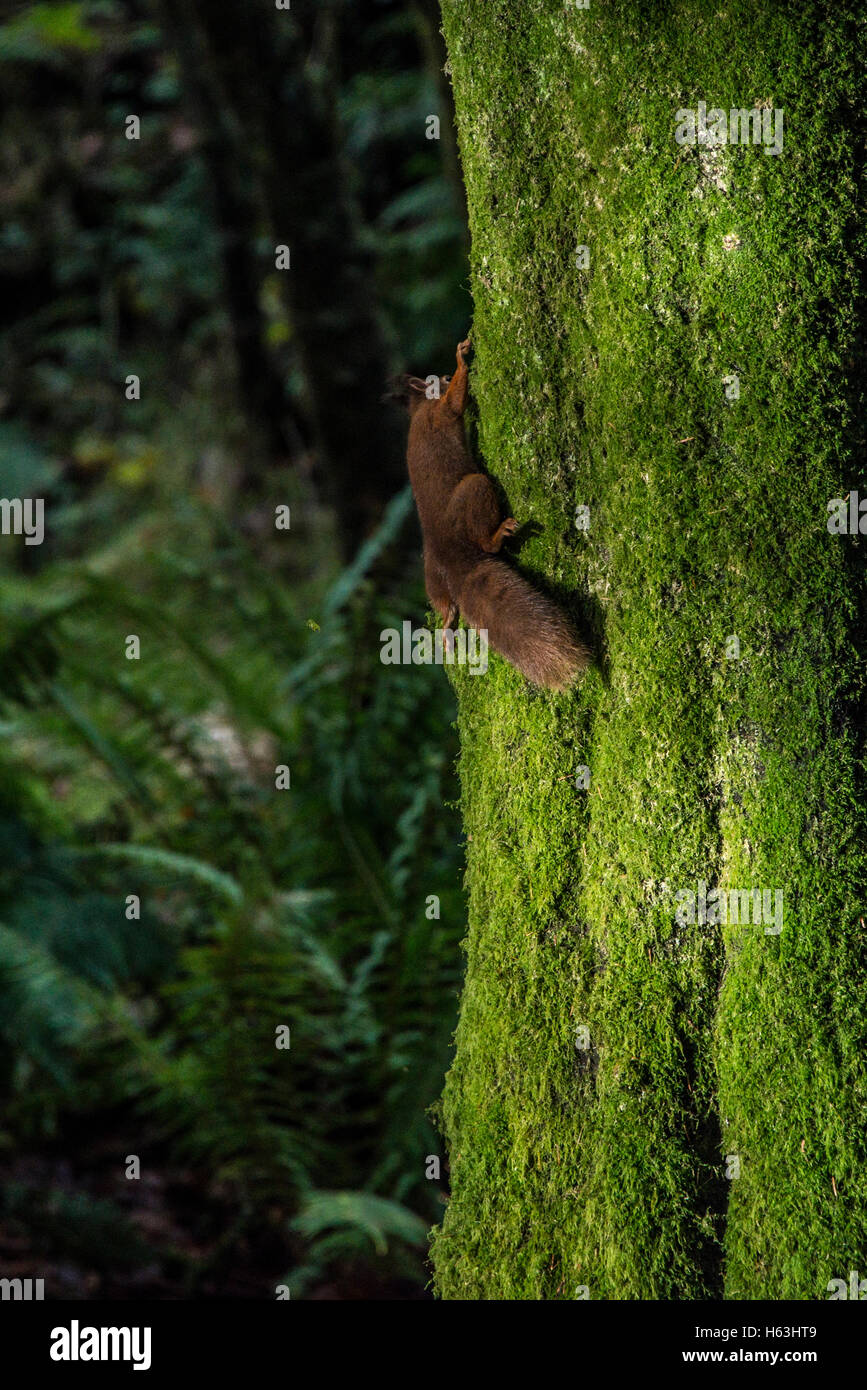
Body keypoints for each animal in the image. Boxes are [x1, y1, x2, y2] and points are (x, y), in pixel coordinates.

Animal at [397, 333, 591, 686]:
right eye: (436, 379)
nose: (444, 374)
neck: (420, 409)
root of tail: (452, 556)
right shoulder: (442, 410)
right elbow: (457, 399)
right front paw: (461, 360)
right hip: (476, 489)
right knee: (485, 540)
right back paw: (497, 535)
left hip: (431, 576)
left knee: (445, 605)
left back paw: (445, 628)